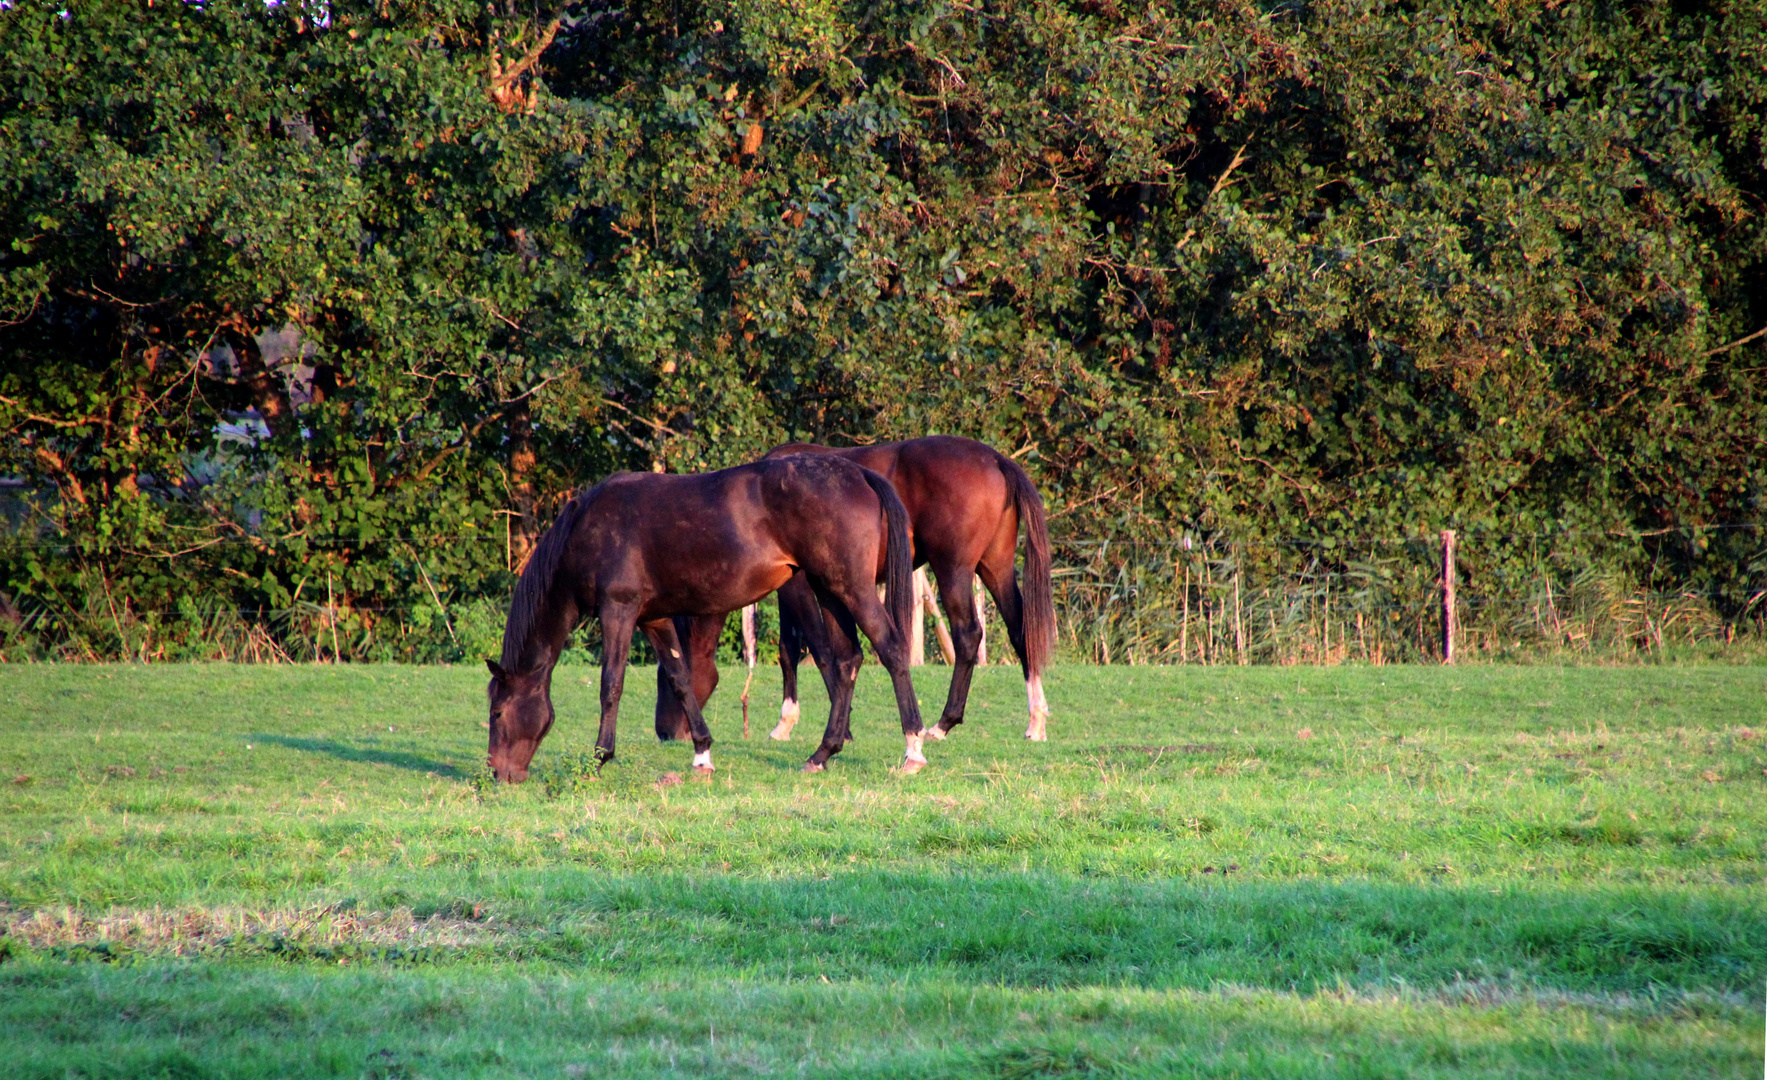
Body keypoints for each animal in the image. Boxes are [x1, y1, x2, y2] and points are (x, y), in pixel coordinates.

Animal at [484, 452, 925, 781]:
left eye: (497, 713)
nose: (499, 773)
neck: (587, 531)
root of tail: (859, 473)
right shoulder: (653, 619)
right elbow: (681, 680)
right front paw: (701, 755)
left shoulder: (618, 611)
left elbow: (611, 684)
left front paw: (599, 758)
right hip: (829, 590)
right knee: (848, 660)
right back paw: (822, 754)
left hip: (851, 588)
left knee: (891, 649)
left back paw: (913, 750)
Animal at [660, 434, 1046, 749]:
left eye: (665, 677)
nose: (665, 732)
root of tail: (995, 459)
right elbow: (789, 649)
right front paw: (788, 723)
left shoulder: (799, 587)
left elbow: (819, 649)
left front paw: (838, 728)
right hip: (995, 567)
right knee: (1021, 631)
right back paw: (1036, 721)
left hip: (953, 570)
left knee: (968, 635)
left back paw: (943, 724)